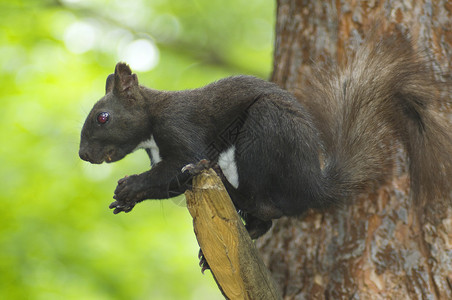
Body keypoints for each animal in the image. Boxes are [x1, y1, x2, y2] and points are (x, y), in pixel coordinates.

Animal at [80, 33, 452, 239]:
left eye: (103, 117)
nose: (84, 155)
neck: (152, 127)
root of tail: (313, 186)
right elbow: (168, 183)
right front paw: (127, 199)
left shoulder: (181, 128)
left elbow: (180, 164)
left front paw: (130, 185)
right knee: (264, 221)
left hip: (265, 132)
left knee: (260, 202)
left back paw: (231, 189)